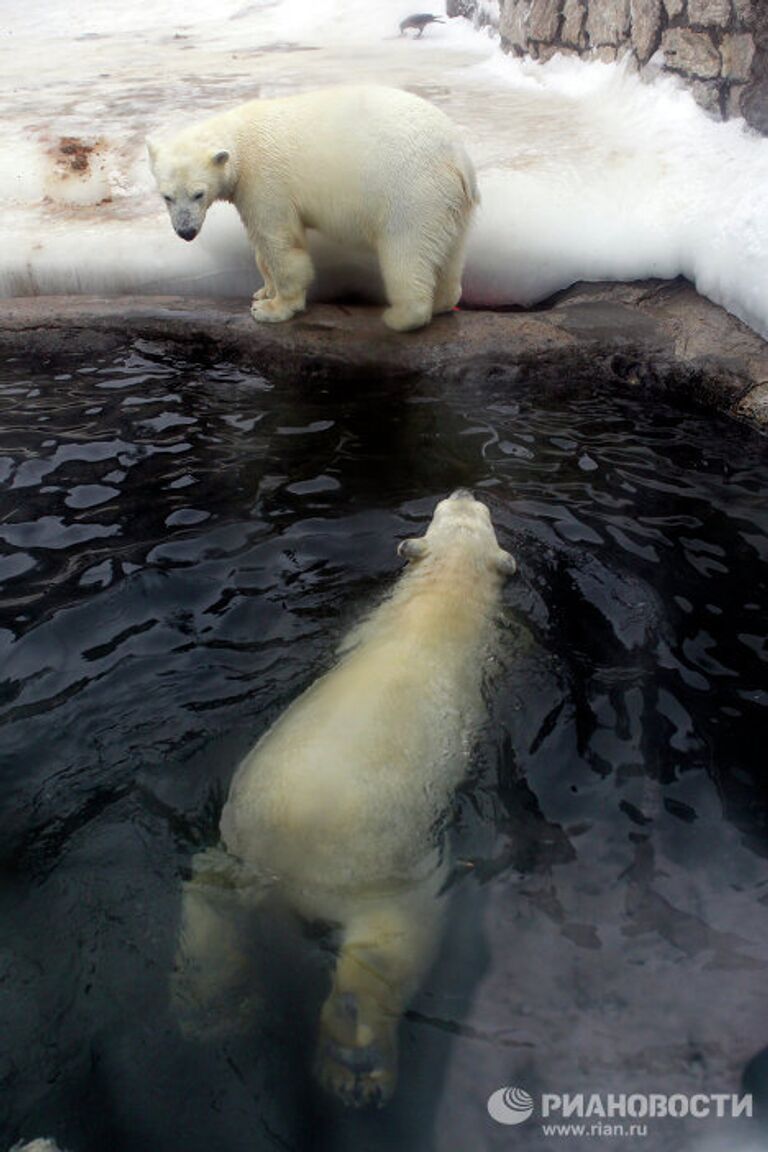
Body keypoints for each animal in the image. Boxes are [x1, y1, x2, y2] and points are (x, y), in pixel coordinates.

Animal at [147, 86, 476, 331]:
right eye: (167, 196)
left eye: (198, 194)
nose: (186, 231)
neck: (240, 138)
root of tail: (458, 156)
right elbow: (261, 245)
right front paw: (264, 290)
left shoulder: (265, 180)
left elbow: (279, 241)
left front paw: (271, 308)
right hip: (451, 204)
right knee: (451, 253)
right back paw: (443, 301)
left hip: (412, 193)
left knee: (405, 253)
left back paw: (401, 316)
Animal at [173, 488, 515, 1105]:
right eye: (455, 510)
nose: (465, 491)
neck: (444, 599)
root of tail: (283, 873)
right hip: (398, 875)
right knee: (394, 944)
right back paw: (356, 1059)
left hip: (235, 845)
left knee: (209, 891)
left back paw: (210, 1006)